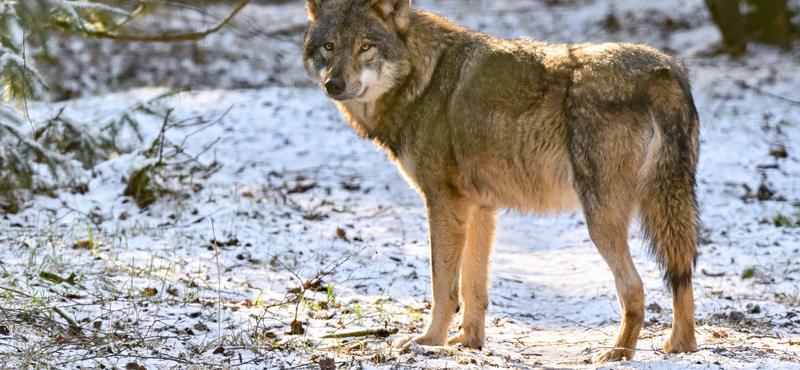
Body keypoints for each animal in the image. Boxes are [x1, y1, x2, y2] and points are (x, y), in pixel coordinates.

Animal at [304, 0, 696, 364]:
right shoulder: (480, 208)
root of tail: (661, 69)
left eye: (366, 47)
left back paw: (618, 353)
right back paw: (681, 347)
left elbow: (443, 285)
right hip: (665, 207)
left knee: (635, 287)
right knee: (682, 274)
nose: (334, 84)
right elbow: (473, 286)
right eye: (329, 46)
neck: (423, 78)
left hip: (601, 219)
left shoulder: (442, 203)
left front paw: (429, 342)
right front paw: (468, 343)